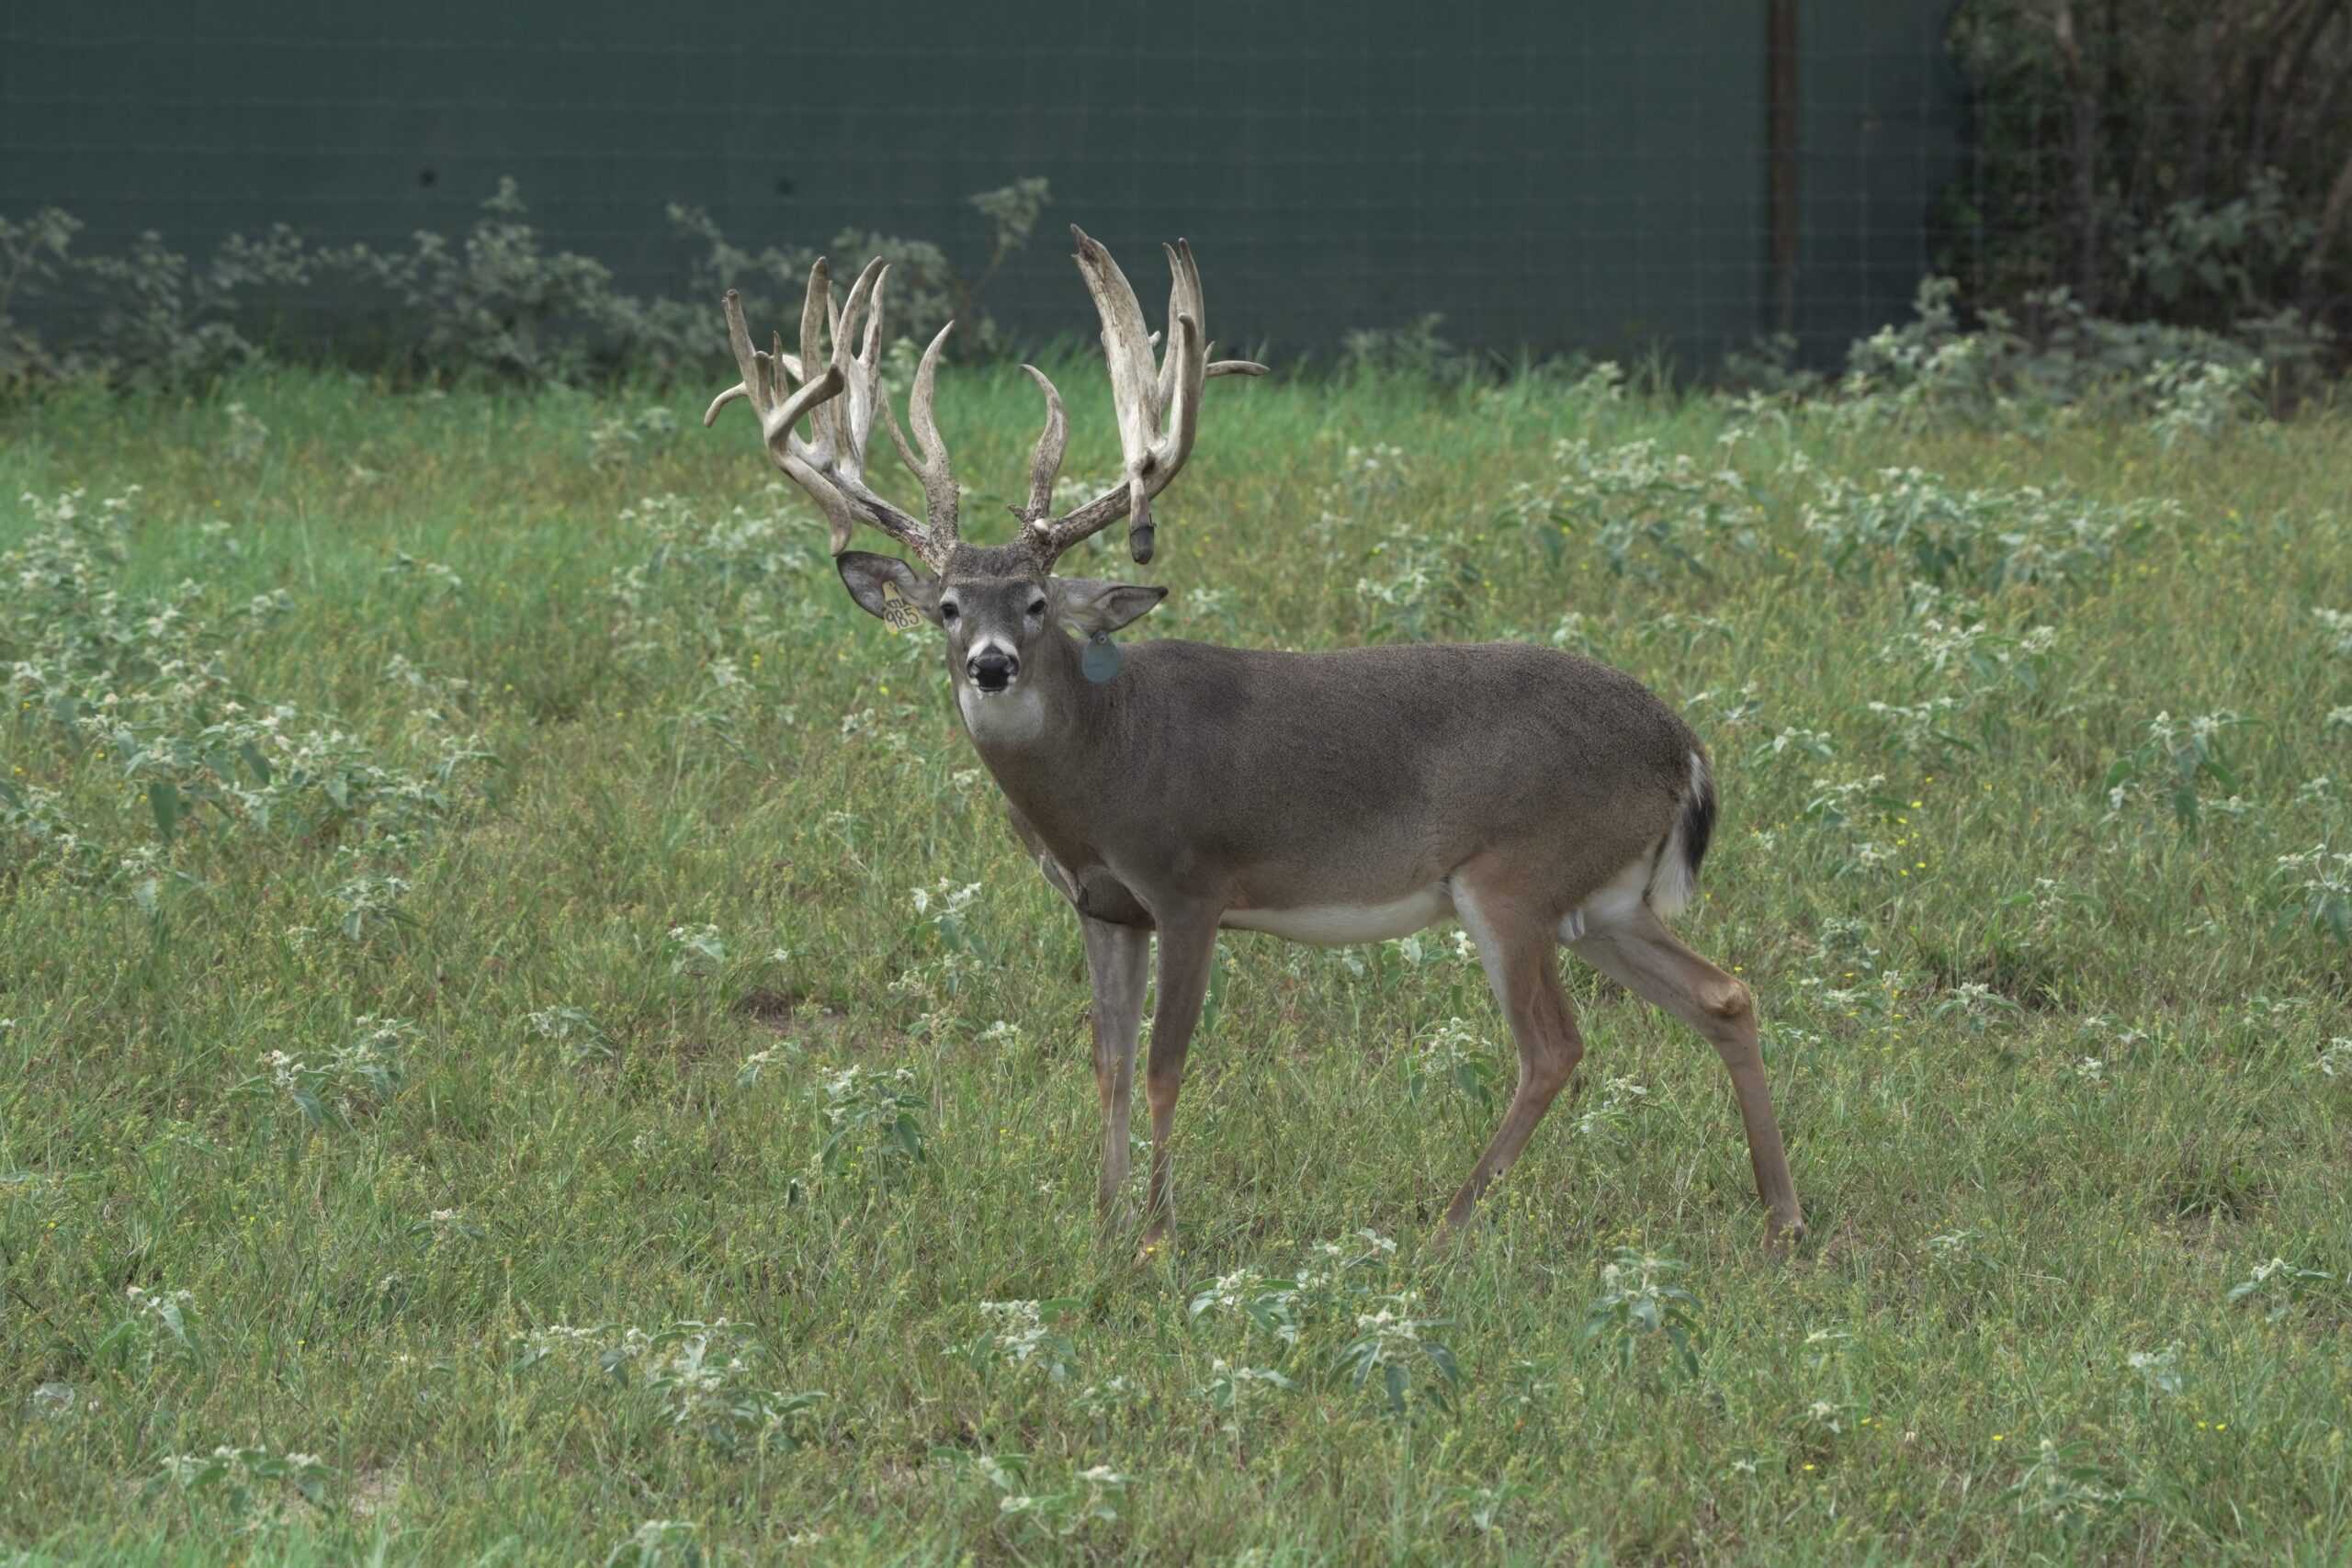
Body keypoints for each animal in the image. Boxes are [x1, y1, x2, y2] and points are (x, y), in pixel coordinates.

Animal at [704, 228, 1804, 1254]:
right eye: (943, 607)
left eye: (1035, 602)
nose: (990, 665)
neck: (1103, 767)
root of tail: (1684, 745)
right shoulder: (1102, 906)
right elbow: (1106, 1062)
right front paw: (1099, 1223)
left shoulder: (1193, 883)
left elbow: (1163, 1064)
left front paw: (1155, 1234)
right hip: (1602, 900)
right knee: (1724, 995)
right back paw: (1780, 1217)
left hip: (1516, 877)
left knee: (1554, 1046)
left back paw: (1446, 1227)